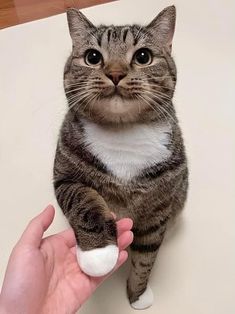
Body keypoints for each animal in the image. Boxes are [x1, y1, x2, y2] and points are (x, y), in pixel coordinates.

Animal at [52, 4, 187, 310]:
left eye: (143, 56)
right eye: (92, 57)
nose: (115, 73)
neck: (122, 131)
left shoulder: (159, 209)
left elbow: (146, 257)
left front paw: (137, 294)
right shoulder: (64, 176)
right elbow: (84, 202)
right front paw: (99, 254)